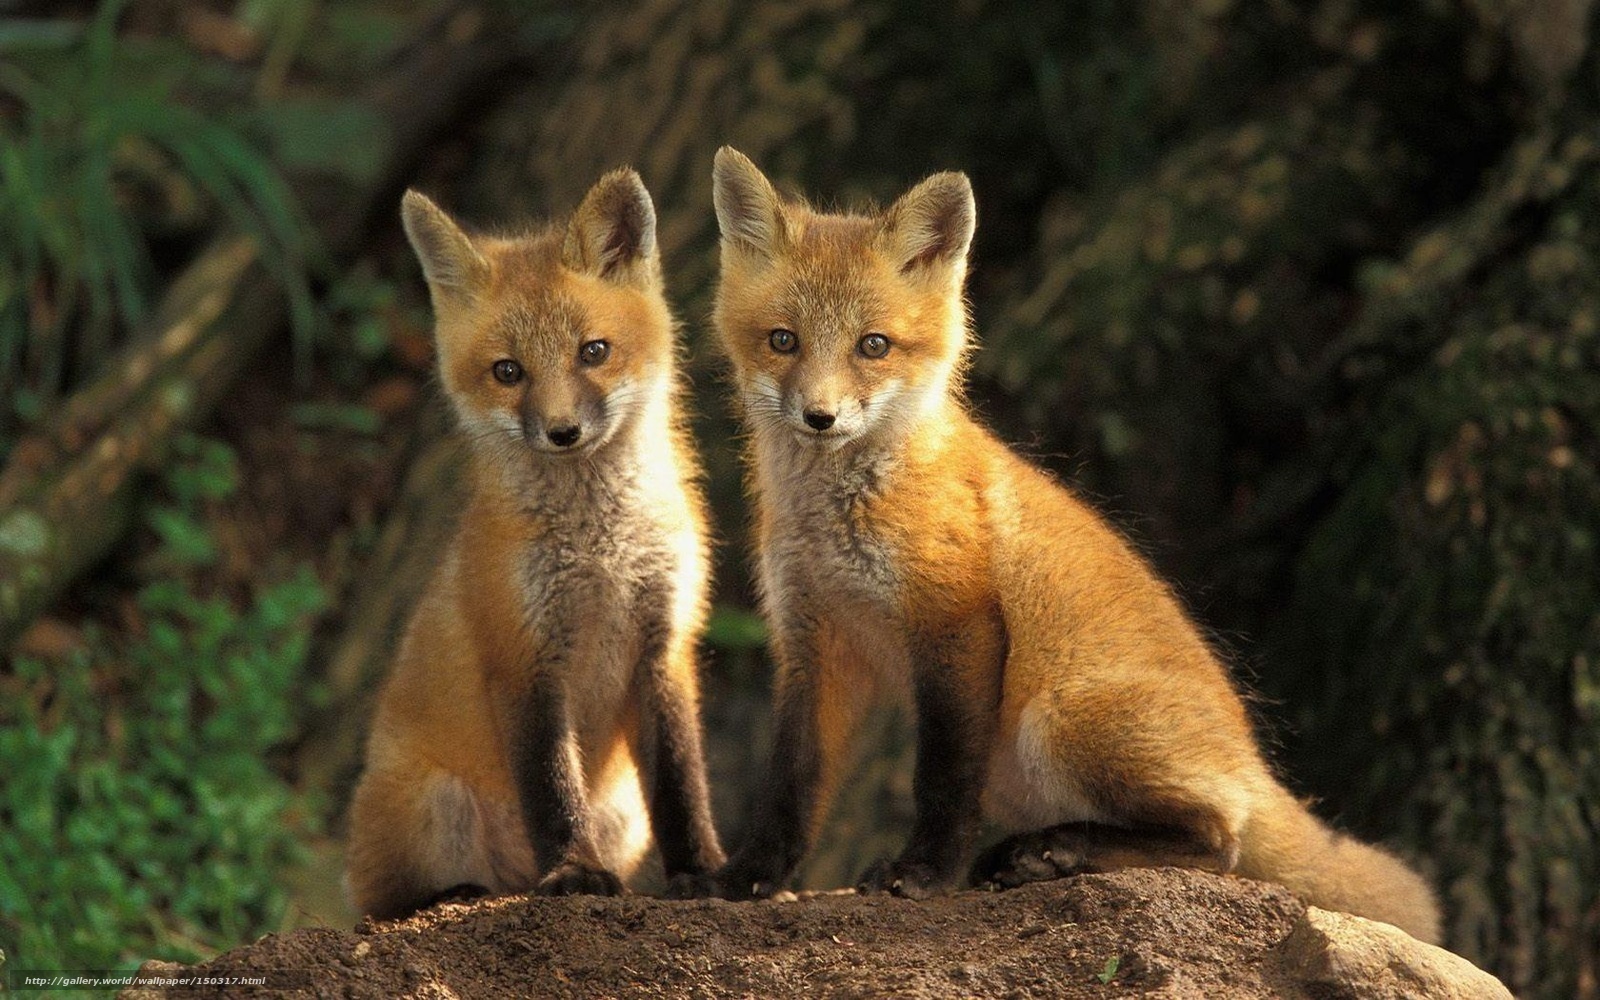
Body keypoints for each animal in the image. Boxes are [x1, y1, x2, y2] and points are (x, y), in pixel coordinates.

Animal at [344, 169, 724, 919]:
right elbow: (551, 786)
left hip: (622, 813)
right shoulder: (524, 655)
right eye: (508, 372)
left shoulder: (665, 645)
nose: (562, 431)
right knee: (384, 904)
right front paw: (575, 871)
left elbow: (683, 783)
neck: (601, 550)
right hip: (434, 805)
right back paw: (457, 894)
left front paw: (704, 873)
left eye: (593, 352)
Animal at [678, 146, 1441, 944]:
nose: (820, 417)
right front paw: (745, 880)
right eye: (783, 340)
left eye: (873, 346)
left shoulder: (957, 622)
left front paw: (923, 875)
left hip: (1057, 719)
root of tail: (1253, 760)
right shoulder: (814, 638)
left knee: (1221, 842)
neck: (838, 516)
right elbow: (791, 783)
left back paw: (1058, 852)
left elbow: (941, 778)